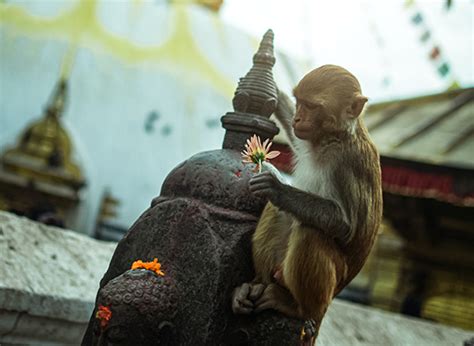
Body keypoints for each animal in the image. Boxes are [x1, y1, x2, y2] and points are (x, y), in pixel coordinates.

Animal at [231, 65, 384, 344]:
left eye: (312, 107)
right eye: (300, 103)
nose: (298, 120)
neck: (332, 138)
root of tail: (332, 298)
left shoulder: (348, 162)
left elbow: (346, 226)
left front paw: (277, 188)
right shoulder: (306, 139)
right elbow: (294, 137)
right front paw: (276, 90)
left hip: (329, 285)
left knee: (309, 232)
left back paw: (297, 308)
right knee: (278, 213)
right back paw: (254, 286)